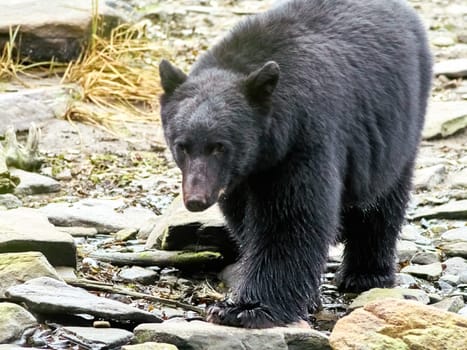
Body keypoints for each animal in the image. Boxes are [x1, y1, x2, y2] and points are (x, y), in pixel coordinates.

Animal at [159, 0, 434, 328]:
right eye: (182, 146)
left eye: (219, 147)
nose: (196, 200)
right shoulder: (241, 176)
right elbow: (244, 219)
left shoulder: (304, 139)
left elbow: (290, 219)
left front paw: (245, 308)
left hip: (398, 126)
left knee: (382, 201)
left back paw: (366, 274)